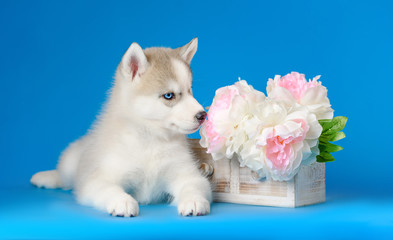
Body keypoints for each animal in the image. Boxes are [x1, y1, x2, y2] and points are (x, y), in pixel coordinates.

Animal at [30, 38, 211, 217]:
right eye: (169, 95)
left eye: (190, 90)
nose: (203, 115)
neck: (150, 140)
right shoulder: (98, 179)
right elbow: (110, 189)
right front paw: (123, 201)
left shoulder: (189, 175)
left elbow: (192, 186)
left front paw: (194, 201)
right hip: (70, 162)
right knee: (64, 176)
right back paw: (45, 177)